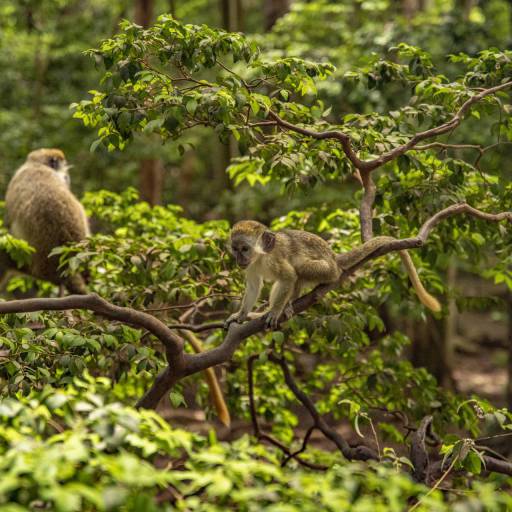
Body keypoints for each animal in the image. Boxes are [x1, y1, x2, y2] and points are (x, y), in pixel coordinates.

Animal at [224, 220, 440, 328]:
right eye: (235, 249)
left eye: (245, 249)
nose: (239, 259)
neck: (260, 256)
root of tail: (334, 259)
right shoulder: (250, 266)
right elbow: (254, 286)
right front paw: (241, 315)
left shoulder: (274, 258)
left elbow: (289, 276)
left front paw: (276, 310)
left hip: (327, 271)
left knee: (299, 268)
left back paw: (287, 303)